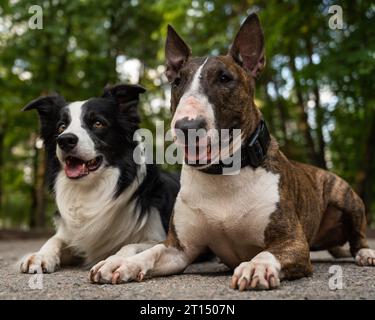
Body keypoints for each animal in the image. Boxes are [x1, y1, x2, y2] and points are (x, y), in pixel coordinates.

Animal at [19, 84, 181, 274]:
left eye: (98, 123)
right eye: (61, 127)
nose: (65, 140)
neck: (91, 188)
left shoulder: (159, 236)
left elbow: (130, 245)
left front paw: (114, 262)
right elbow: (55, 239)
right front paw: (41, 255)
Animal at [89, 13, 374, 290]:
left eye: (224, 78)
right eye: (178, 81)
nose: (186, 126)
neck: (222, 175)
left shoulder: (292, 242)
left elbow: (267, 253)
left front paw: (256, 266)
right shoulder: (179, 249)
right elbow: (153, 252)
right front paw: (121, 264)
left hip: (347, 198)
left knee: (358, 236)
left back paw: (365, 254)